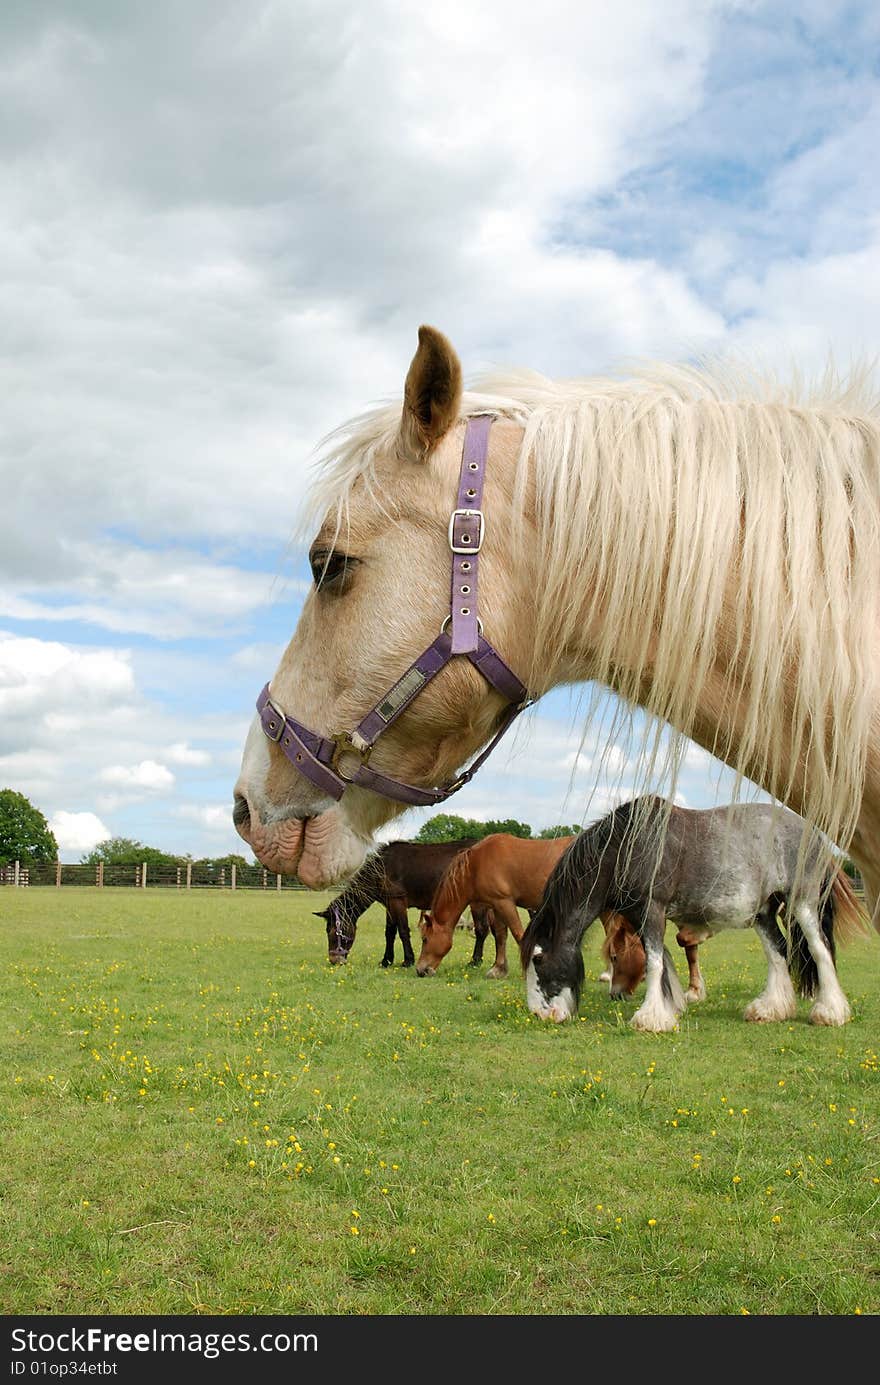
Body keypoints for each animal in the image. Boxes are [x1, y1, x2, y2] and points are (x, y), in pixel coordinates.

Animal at [314, 836, 501, 969]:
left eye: (332, 931)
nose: (334, 960)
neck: (382, 868)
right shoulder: (389, 905)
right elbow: (389, 933)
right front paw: (386, 961)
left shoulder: (398, 902)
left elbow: (403, 931)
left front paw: (407, 961)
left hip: (478, 903)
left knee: (482, 930)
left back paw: (475, 962)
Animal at [521, 797, 870, 1035]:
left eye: (538, 959)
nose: (539, 1014)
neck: (626, 847)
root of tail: (814, 835)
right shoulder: (641, 916)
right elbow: (662, 961)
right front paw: (669, 1008)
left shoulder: (653, 910)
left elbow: (655, 962)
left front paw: (650, 1018)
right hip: (764, 914)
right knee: (778, 953)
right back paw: (771, 1009)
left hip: (802, 904)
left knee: (820, 950)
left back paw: (830, 1013)